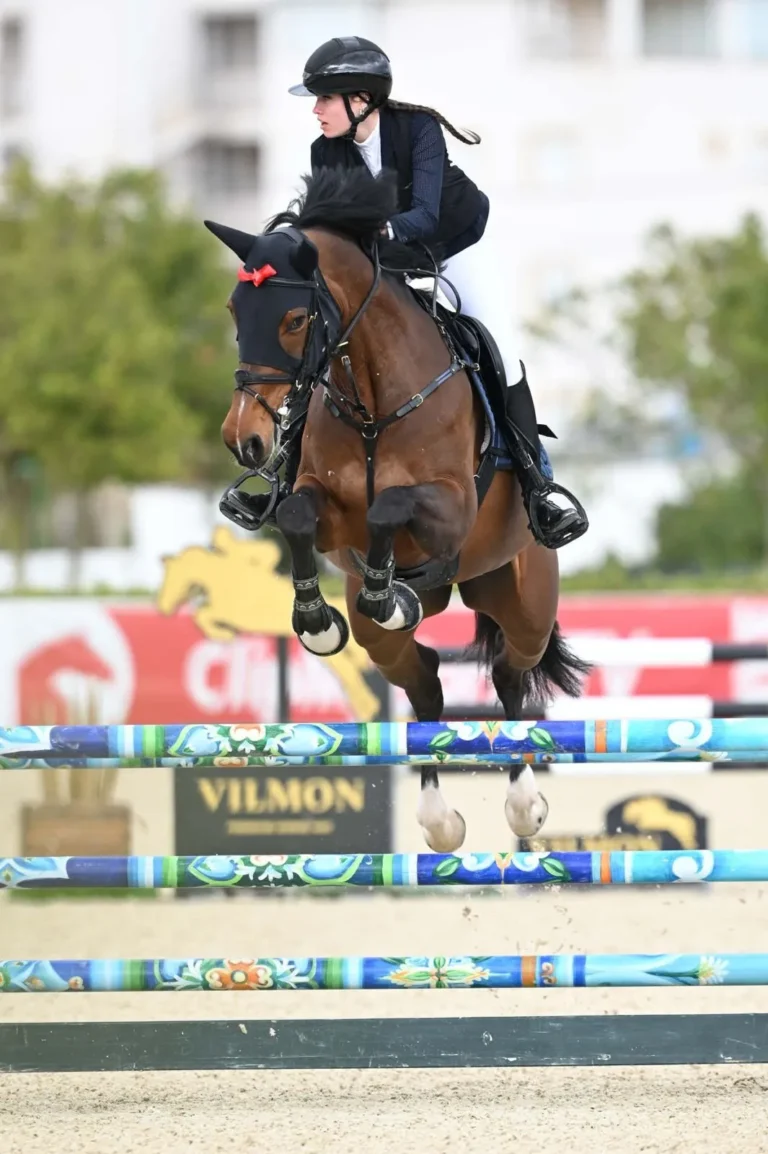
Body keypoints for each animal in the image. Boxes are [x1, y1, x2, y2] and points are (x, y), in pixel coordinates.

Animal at [204, 166, 589, 852]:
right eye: (234, 311)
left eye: (295, 318)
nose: (242, 439)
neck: (372, 401)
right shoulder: (326, 511)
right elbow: (299, 516)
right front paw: (318, 618)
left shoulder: (451, 506)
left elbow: (390, 506)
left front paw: (386, 593)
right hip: (395, 643)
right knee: (426, 680)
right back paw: (439, 819)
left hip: (524, 603)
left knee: (511, 677)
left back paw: (524, 806)